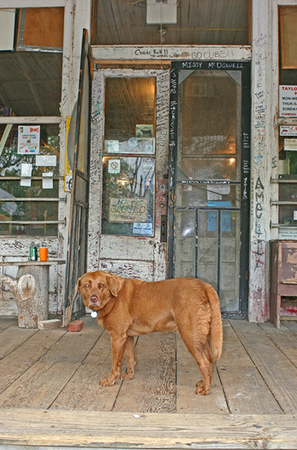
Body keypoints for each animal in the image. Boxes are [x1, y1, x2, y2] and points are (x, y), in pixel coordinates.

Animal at [74, 270, 222, 394]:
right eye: (87, 285)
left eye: (101, 285)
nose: (93, 298)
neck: (112, 298)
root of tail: (204, 285)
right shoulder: (127, 336)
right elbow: (130, 358)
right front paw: (129, 375)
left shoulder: (117, 336)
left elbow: (115, 364)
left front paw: (110, 381)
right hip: (202, 335)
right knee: (210, 359)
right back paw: (204, 383)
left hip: (190, 334)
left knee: (204, 362)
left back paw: (205, 389)